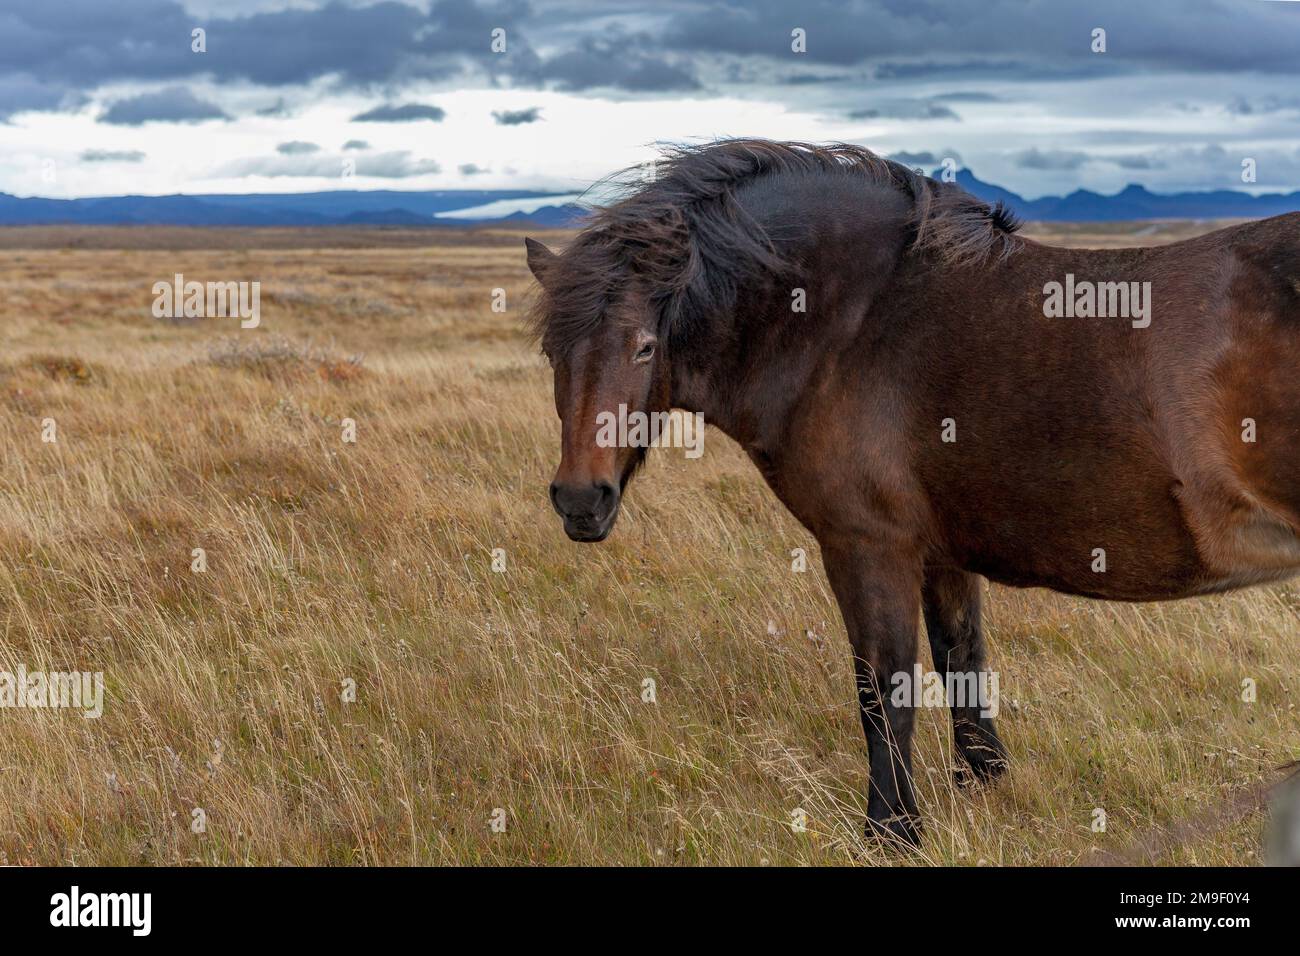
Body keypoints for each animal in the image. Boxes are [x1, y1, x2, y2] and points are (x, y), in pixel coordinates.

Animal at [524, 139, 1300, 847]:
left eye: (645, 345)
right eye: (550, 350)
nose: (580, 501)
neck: (851, 323)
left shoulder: (868, 546)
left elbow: (884, 688)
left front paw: (891, 830)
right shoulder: (942, 553)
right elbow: (964, 662)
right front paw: (982, 786)